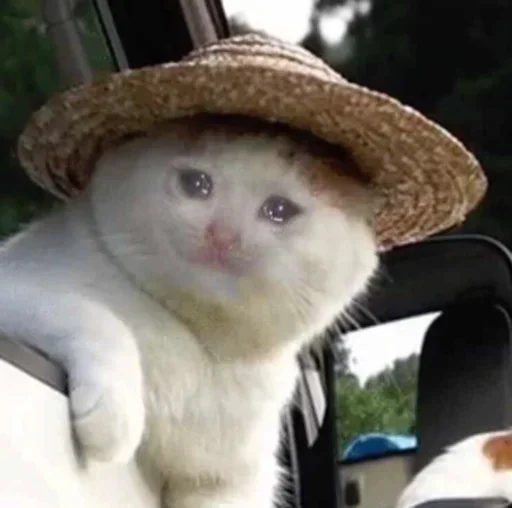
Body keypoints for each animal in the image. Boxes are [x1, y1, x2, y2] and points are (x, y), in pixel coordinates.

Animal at [0, 114, 378, 508]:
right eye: (196, 184)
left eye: (279, 210)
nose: (222, 234)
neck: (197, 349)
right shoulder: (15, 285)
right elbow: (100, 319)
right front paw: (114, 420)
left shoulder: (226, 485)